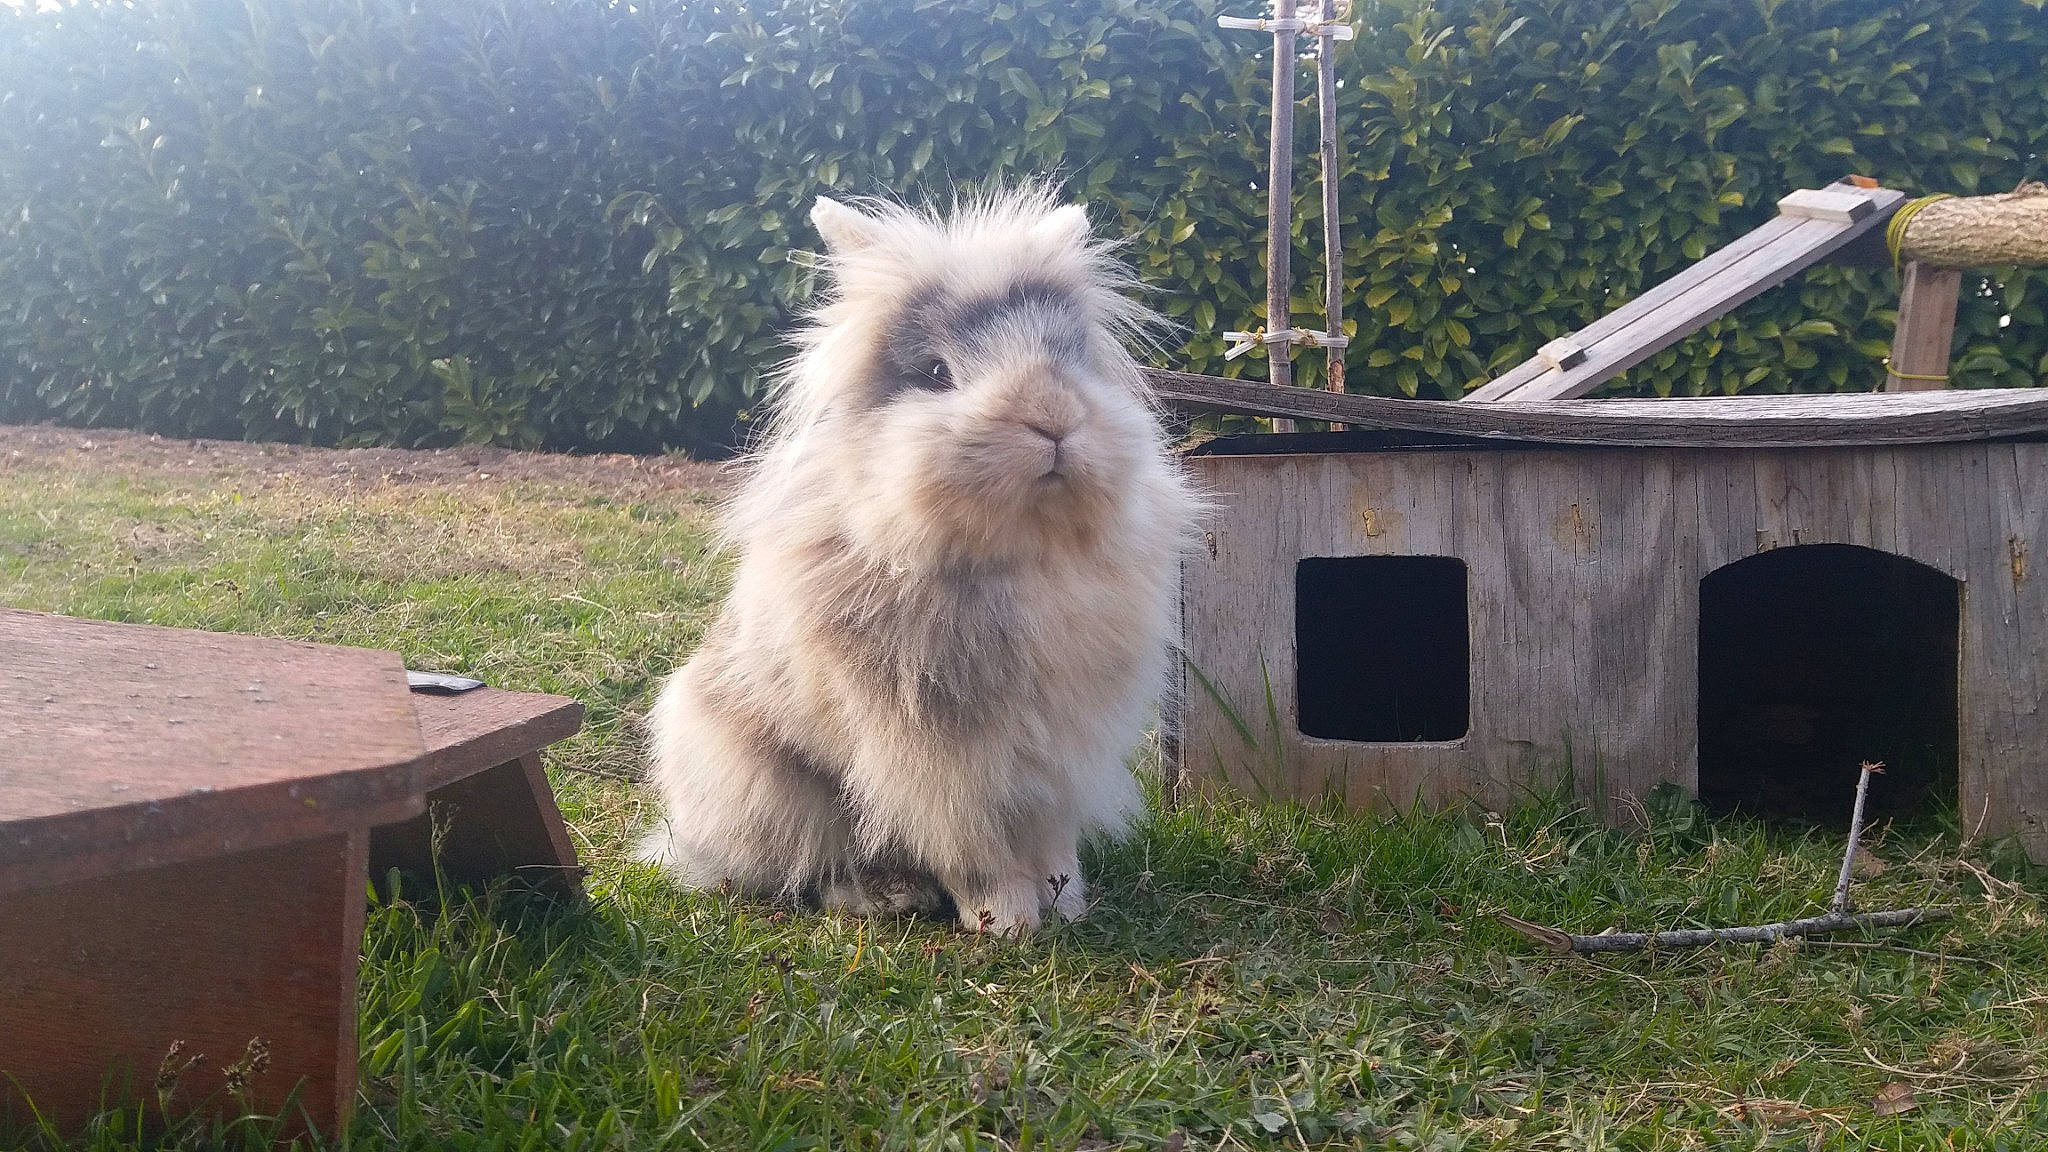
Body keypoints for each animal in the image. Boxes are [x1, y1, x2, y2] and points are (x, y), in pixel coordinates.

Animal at [636, 186, 1202, 935]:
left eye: (1070, 357)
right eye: (937, 373)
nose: (1052, 417)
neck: (1019, 555)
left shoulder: (1064, 755)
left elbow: (1052, 840)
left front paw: (1068, 904)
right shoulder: (942, 765)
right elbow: (975, 851)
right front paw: (1008, 924)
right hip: (764, 787)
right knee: (808, 870)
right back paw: (887, 895)